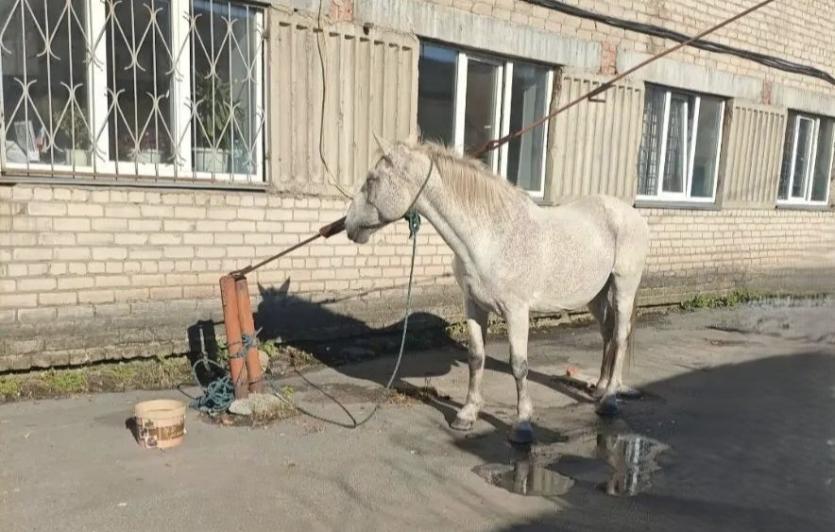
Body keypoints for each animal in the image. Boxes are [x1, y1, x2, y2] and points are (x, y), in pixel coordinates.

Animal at [344, 138, 650, 444]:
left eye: (371, 179)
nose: (348, 224)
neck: (490, 236)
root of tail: (631, 213)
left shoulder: (516, 311)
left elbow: (519, 365)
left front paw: (522, 425)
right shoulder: (473, 305)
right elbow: (476, 357)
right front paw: (467, 414)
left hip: (623, 287)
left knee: (619, 337)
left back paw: (609, 401)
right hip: (596, 296)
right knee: (607, 334)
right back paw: (599, 388)